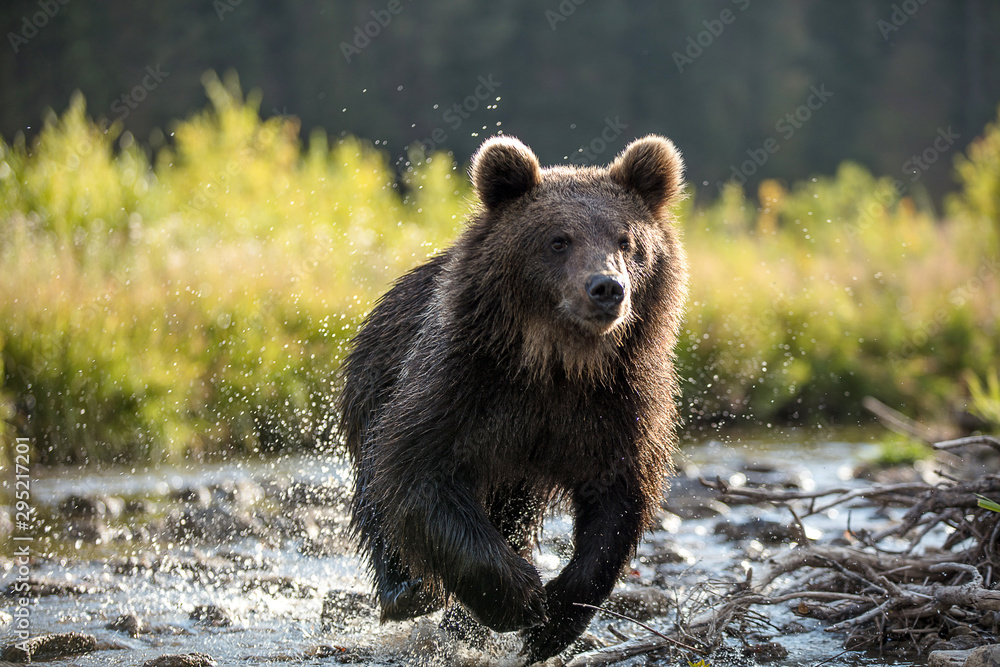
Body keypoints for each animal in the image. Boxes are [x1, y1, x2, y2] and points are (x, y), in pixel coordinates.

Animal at [338, 133, 688, 663]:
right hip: (372, 389)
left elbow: (619, 501)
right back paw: (409, 591)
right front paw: (520, 598)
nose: (607, 287)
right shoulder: (463, 385)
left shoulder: (620, 403)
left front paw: (553, 620)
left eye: (627, 240)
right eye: (558, 239)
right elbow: (420, 476)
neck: (558, 364)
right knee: (377, 495)